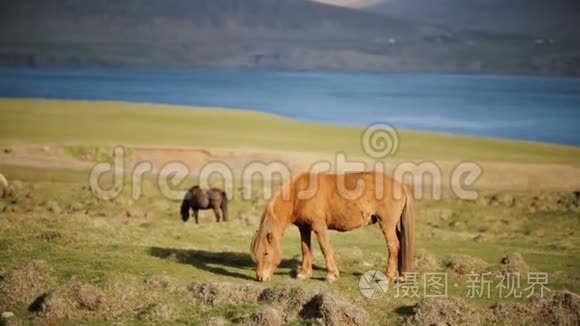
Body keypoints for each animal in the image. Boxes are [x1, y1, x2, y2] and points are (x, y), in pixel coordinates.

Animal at [251, 171, 414, 282]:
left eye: (266, 253)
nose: (260, 277)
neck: (298, 194)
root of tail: (401, 186)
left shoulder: (319, 226)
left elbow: (325, 248)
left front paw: (331, 275)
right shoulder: (304, 228)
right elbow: (305, 249)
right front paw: (304, 274)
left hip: (386, 224)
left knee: (394, 246)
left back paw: (387, 277)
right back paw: (401, 275)